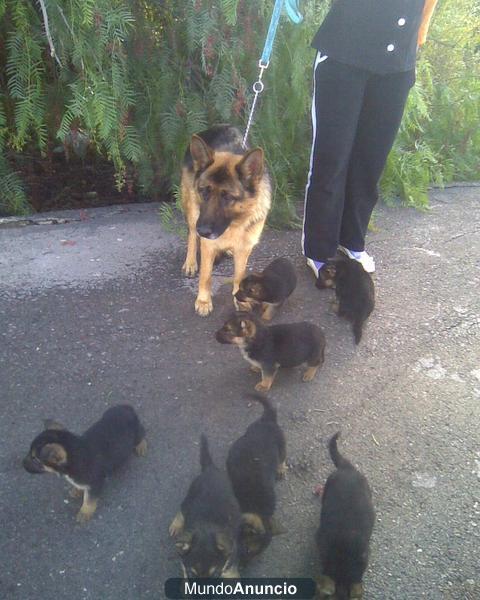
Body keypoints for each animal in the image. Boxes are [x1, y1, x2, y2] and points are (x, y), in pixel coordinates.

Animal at [170, 434, 244, 580]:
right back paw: (176, 525)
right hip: (189, 498)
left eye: (215, 575)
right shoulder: (185, 568)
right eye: (192, 575)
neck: (206, 528)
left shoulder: (230, 568)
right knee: (181, 509)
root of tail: (210, 468)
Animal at [180, 124, 270, 316]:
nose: (203, 231)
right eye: (204, 191)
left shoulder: (244, 248)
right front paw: (203, 301)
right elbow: (206, 276)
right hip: (193, 209)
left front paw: (239, 298)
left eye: (227, 197)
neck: (233, 224)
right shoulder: (207, 244)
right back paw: (190, 262)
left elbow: (239, 275)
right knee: (191, 234)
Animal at [227, 394, 286, 564]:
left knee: (282, 459)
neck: (256, 508)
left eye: (256, 555)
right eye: (245, 550)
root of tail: (268, 419)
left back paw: (280, 469)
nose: (243, 566)